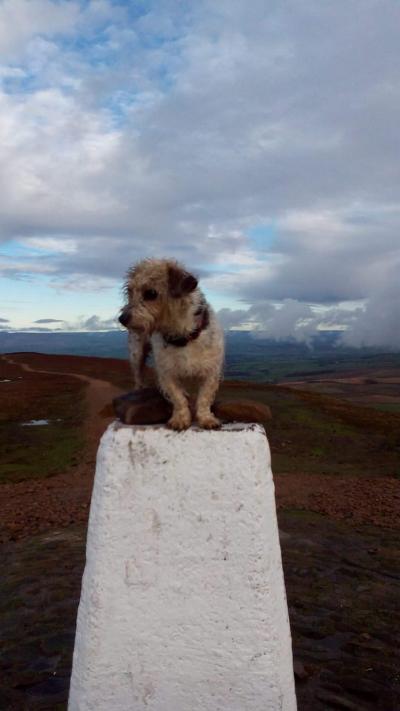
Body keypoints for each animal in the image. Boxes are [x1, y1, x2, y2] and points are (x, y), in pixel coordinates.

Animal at [119, 258, 225, 432]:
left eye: (151, 293)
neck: (182, 336)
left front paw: (206, 418)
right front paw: (180, 419)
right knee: (138, 376)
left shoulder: (211, 371)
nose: (122, 318)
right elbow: (178, 398)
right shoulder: (167, 372)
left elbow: (204, 398)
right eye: (130, 291)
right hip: (136, 353)